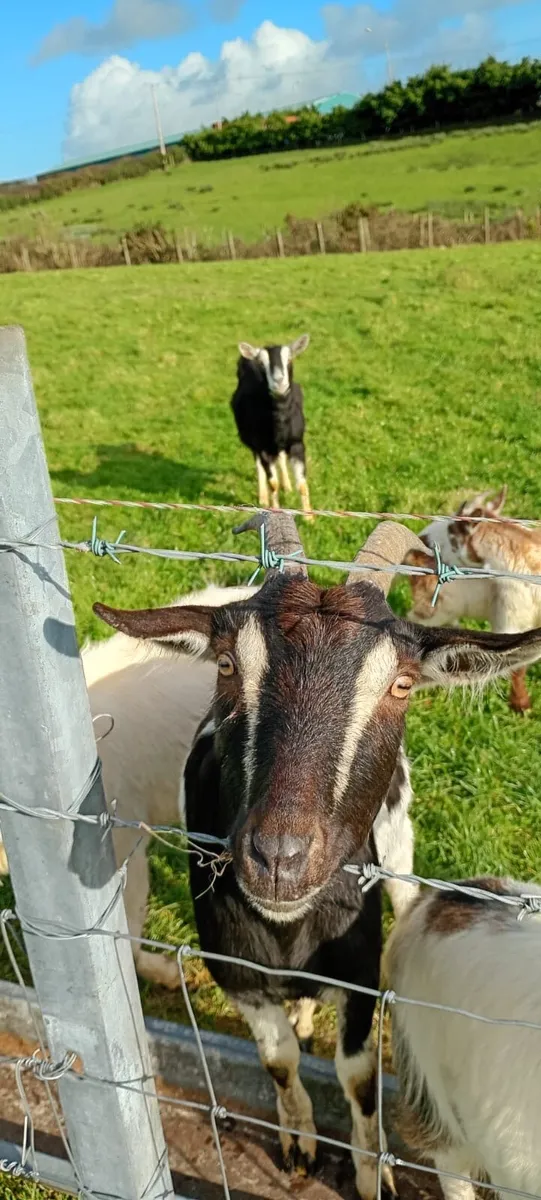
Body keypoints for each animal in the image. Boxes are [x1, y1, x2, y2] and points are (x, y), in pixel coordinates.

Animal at [231, 334, 312, 517]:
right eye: (262, 363)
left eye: (289, 358)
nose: (279, 382)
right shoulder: (262, 447)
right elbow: (273, 483)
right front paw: (274, 509)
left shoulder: (297, 443)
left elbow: (302, 484)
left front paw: (310, 517)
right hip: (254, 443)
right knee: (260, 466)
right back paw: (263, 497)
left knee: (280, 457)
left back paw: (287, 486)